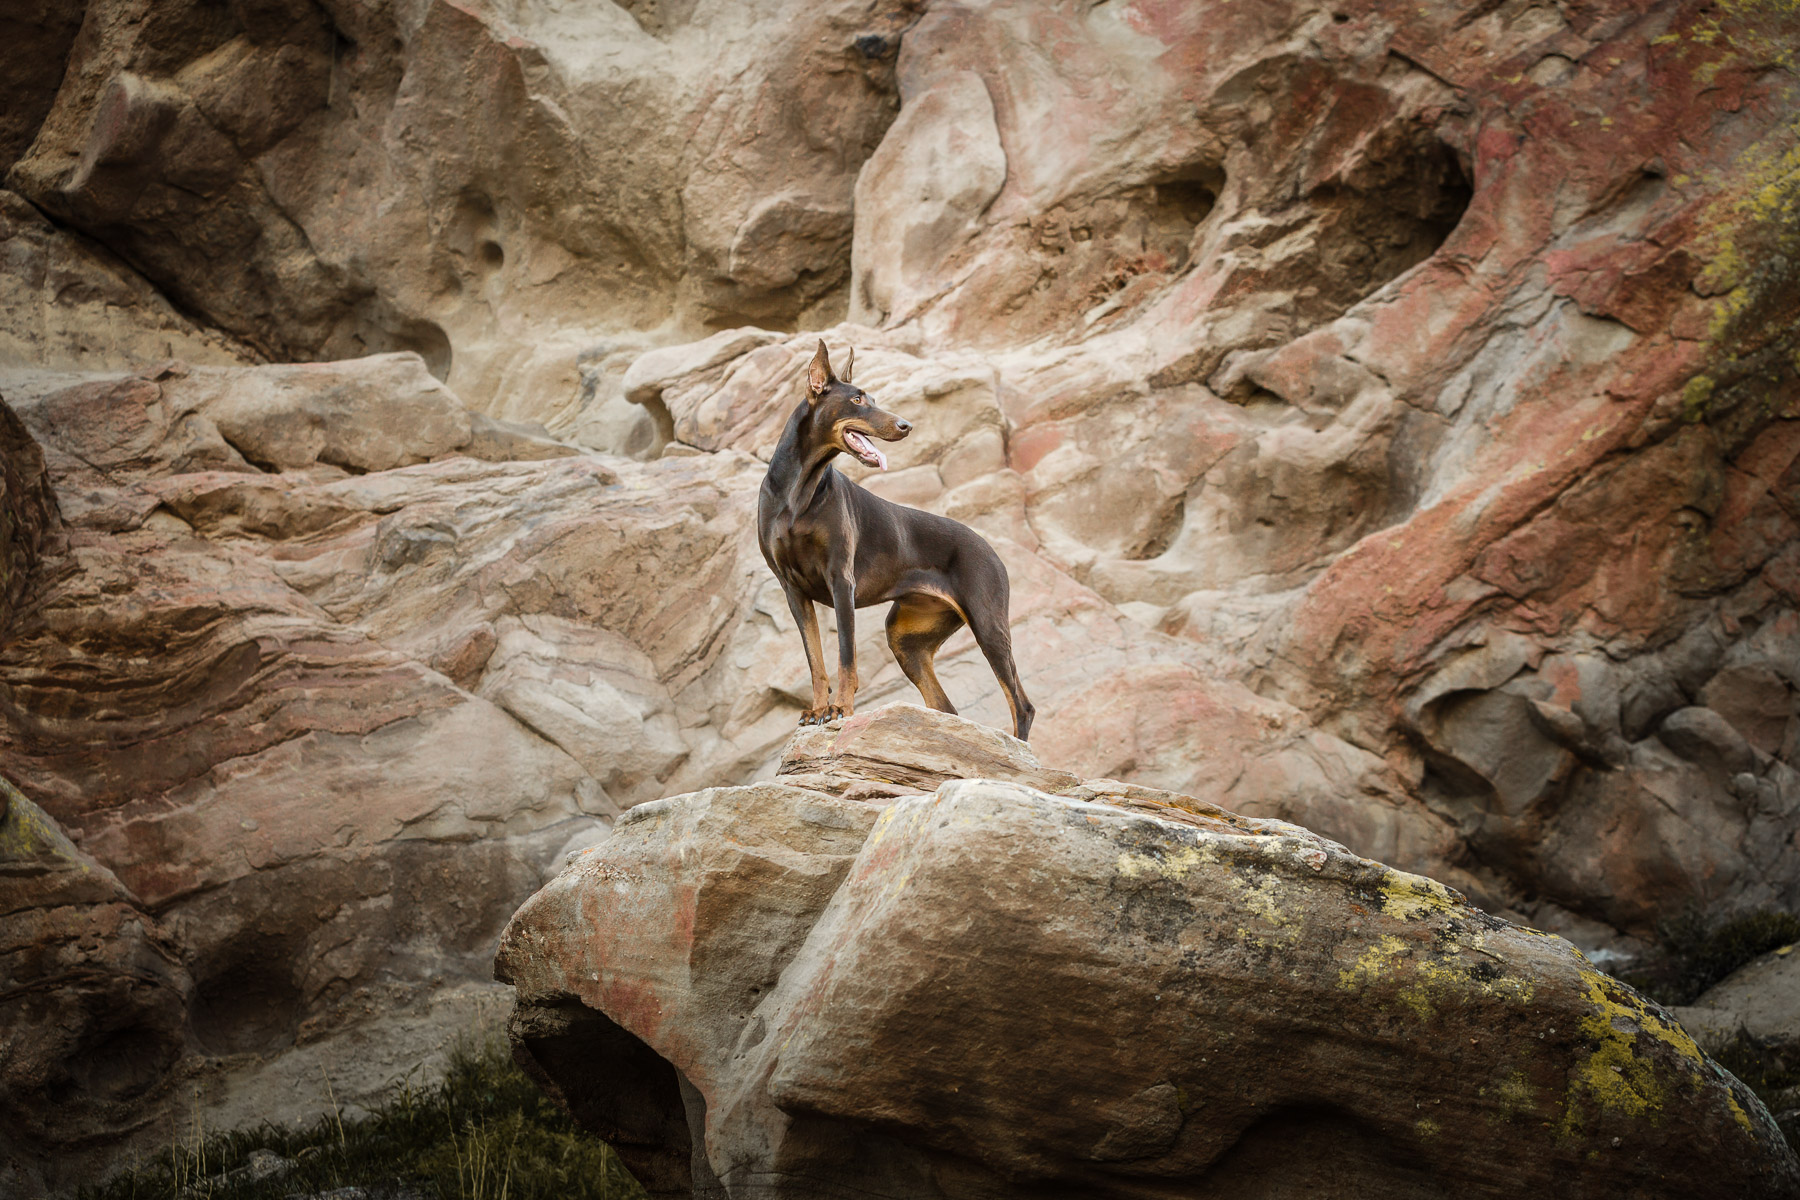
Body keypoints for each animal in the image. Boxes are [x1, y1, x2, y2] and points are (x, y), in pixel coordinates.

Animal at [752, 338, 1036, 741]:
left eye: (870, 397)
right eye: (857, 399)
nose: (906, 425)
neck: (798, 489)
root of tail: (991, 549)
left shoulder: (841, 580)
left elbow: (846, 657)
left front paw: (840, 709)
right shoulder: (793, 590)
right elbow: (816, 661)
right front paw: (818, 710)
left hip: (988, 625)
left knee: (1021, 704)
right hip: (905, 641)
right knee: (946, 708)